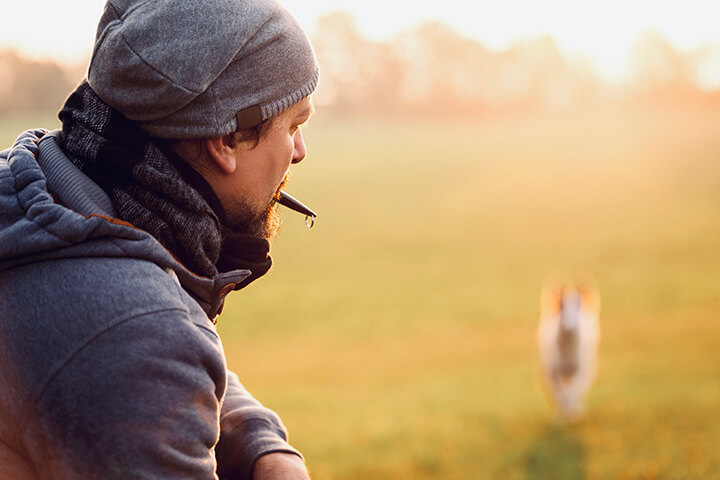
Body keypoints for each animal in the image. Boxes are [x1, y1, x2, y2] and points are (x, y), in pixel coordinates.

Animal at [536, 284, 600, 422]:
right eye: (561, 305)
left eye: (579, 305)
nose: (570, 325)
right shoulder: (553, 373)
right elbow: (561, 395)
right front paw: (562, 416)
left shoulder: (582, 371)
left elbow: (574, 391)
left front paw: (574, 412)